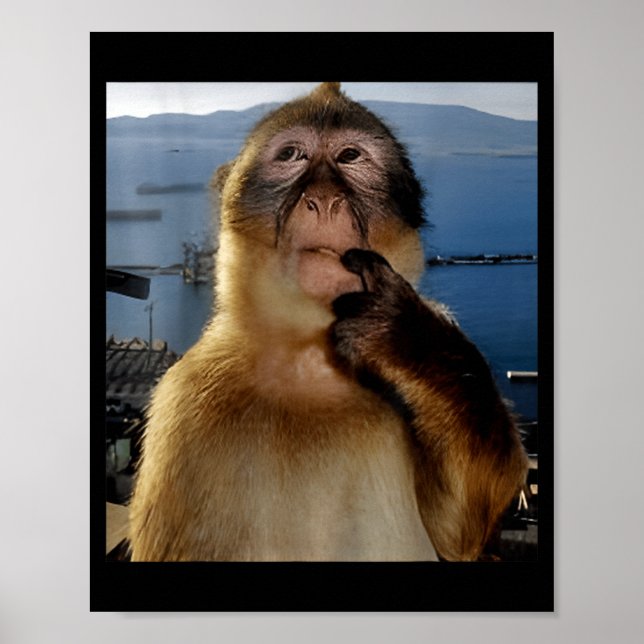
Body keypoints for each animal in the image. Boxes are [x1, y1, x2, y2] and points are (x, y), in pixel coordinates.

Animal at [127, 82, 528, 562]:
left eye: (350, 156)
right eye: (292, 155)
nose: (323, 200)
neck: (309, 359)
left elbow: (458, 533)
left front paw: (406, 337)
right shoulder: (184, 406)